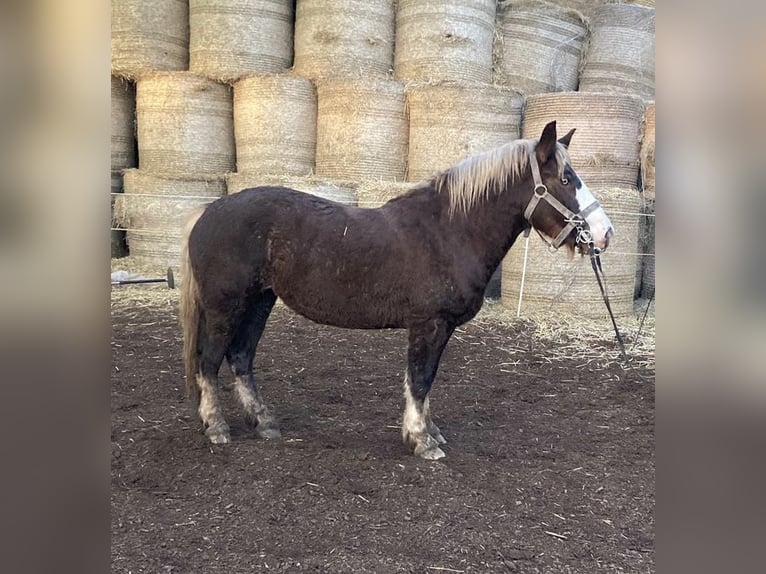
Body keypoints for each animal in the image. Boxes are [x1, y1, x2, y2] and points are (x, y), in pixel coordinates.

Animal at [179, 121, 614, 460]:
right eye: (566, 180)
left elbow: (427, 378)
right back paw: (217, 427)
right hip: (226, 307)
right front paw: (422, 441)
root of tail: (207, 211)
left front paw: (428, 431)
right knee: (209, 362)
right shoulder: (428, 324)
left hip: (259, 302)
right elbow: (419, 380)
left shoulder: (440, 329)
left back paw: (264, 422)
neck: (448, 230)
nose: (605, 234)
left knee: (241, 358)